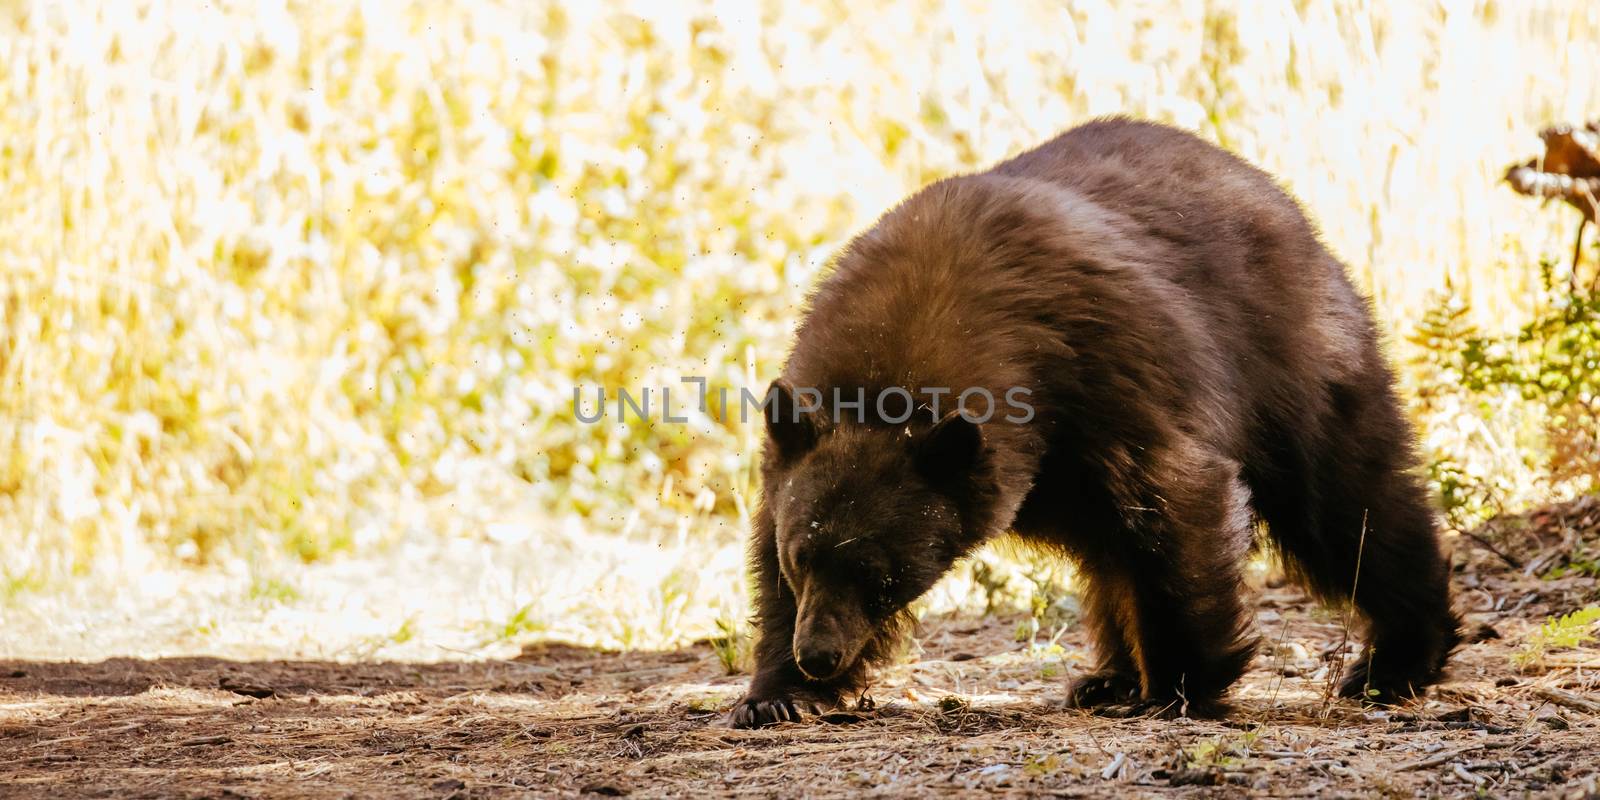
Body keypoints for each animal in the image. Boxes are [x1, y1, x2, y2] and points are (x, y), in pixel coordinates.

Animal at [732, 116, 1459, 726]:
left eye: (881, 574)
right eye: (801, 558)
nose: (818, 654)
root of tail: (1277, 197)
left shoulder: (1112, 376)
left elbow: (1178, 500)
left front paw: (1184, 682)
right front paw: (775, 695)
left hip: (1292, 361)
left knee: (1346, 506)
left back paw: (1393, 661)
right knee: (1113, 553)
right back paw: (1108, 679)